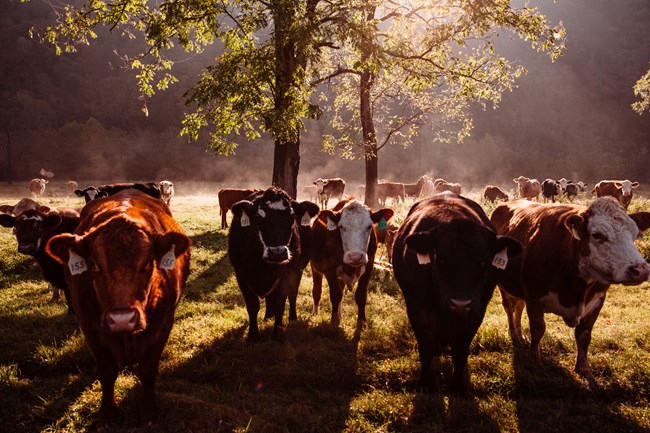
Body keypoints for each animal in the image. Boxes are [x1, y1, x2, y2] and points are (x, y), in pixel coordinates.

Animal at [45, 189, 190, 422]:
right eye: (94, 263)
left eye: (148, 262)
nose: (122, 319)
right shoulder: (90, 328)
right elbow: (106, 372)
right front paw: (107, 413)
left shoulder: (164, 324)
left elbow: (148, 371)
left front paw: (148, 410)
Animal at [228, 186, 318, 340]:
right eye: (258, 218)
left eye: (292, 217)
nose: (277, 253)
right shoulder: (241, 275)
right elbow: (253, 306)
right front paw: (253, 336)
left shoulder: (286, 274)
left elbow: (279, 304)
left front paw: (277, 334)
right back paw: (268, 316)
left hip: (298, 270)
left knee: (292, 293)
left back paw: (292, 317)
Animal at [308, 197, 392, 326]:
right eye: (341, 226)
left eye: (369, 226)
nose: (355, 257)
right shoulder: (329, 270)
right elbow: (335, 294)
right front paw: (334, 320)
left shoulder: (368, 268)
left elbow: (360, 295)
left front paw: (361, 321)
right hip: (315, 268)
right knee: (317, 291)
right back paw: (315, 313)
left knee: (342, 292)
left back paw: (340, 314)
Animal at [388, 192, 520, 392]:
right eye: (441, 259)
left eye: (483, 261)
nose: (460, 304)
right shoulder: (417, 308)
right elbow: (426, 348)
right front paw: (424, 383)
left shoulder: (476, 311)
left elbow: (460, 351)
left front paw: (458, 386)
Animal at [492, 197, 648, 380]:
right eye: (596, 235)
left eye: (635, 234)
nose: (640, 270)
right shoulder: (534, 297)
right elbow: (538, 329)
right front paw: (536, 361)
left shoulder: (598, 301)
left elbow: (584, 335)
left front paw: (583, 368)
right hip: (503, 285)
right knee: (509, 307)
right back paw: (514, 333)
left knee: (519, 306)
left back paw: (519, 333)